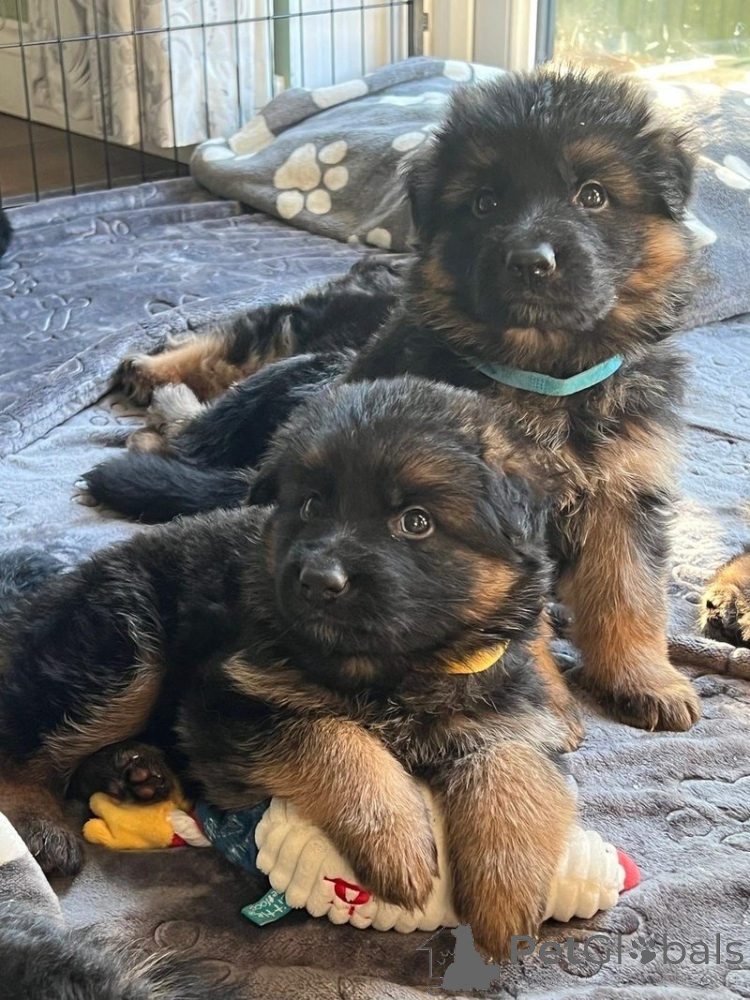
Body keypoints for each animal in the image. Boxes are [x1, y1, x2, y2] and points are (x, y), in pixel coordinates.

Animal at [0, 377, 578, 959]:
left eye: (416, 522)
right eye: (311, 505)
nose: (319, 580)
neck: (394, 669)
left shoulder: (509, 709)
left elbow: (515, 769)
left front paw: (505, 895)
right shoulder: (224, 702)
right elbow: (328, 735)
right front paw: (395, 841)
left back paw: (134, 771)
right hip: (122, 644)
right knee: (27, 746)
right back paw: (42, 824)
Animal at [86, 67, 701, 735]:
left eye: (593, 196)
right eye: (485, 203)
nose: (531, 262)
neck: (542, 373)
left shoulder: (623, 489)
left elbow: (629, 593)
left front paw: (644, 678)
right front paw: (548, 700)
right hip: (302, 349)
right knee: (231, 357)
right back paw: (153, 390)